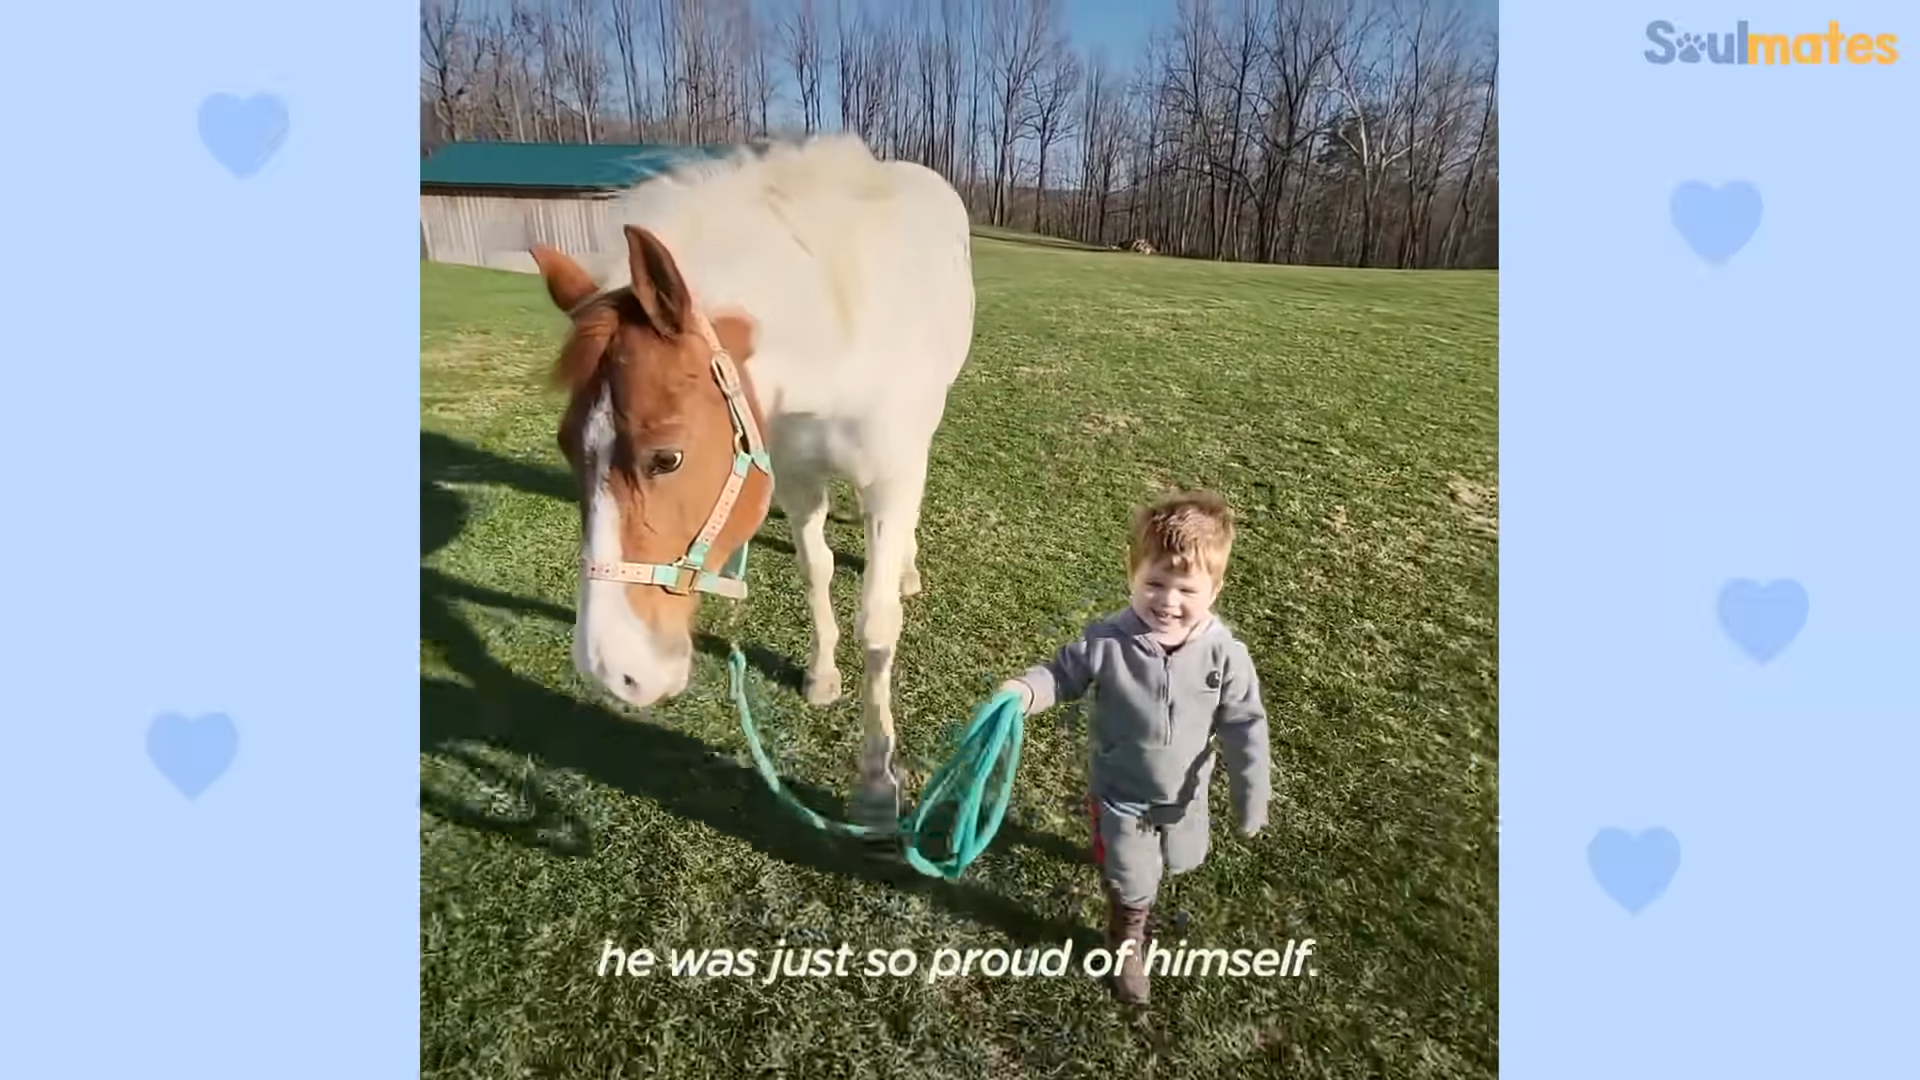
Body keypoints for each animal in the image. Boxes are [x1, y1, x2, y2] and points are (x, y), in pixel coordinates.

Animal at [526, 132, 975, 822]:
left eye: (667, 458)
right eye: (568, 449)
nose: (612, 671)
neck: (837, 339)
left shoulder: (890, 478)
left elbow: (877, 623)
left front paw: (876, 780)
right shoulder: (793, 475)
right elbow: (816, 572)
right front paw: (822, 674)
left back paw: (906, 569)